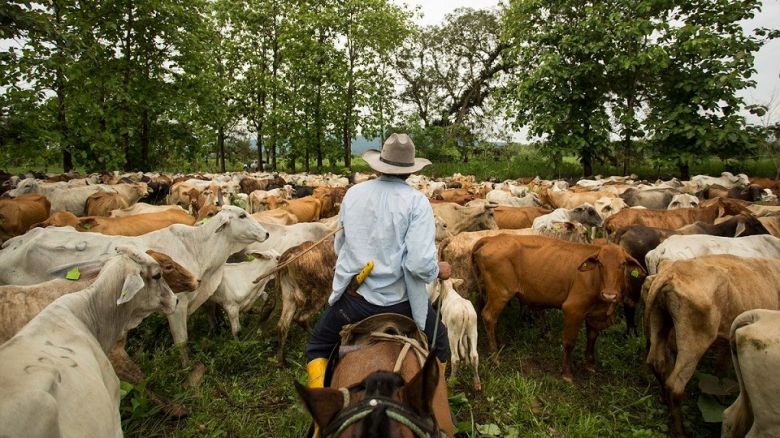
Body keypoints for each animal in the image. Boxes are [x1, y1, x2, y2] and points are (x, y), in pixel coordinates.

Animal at [470, 234, 644, 382]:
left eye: (623, 264)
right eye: (600, 263)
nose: (609, 295)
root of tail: (492, 238)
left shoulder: (594, 316)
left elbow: (592, 338)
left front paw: (589, 365)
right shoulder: (572, 309)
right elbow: (569, 342)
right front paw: (567, 373)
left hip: (486, 291)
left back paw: (498, 344)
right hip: (501, 293)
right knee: (489, 316)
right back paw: (495, 356)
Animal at [644, 255, 780, 436]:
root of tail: (672, 272)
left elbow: (721, 370)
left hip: (660, 320)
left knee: (656, 362)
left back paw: (664, 399)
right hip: (694, 342)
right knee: (675, 385)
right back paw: (681, 432)